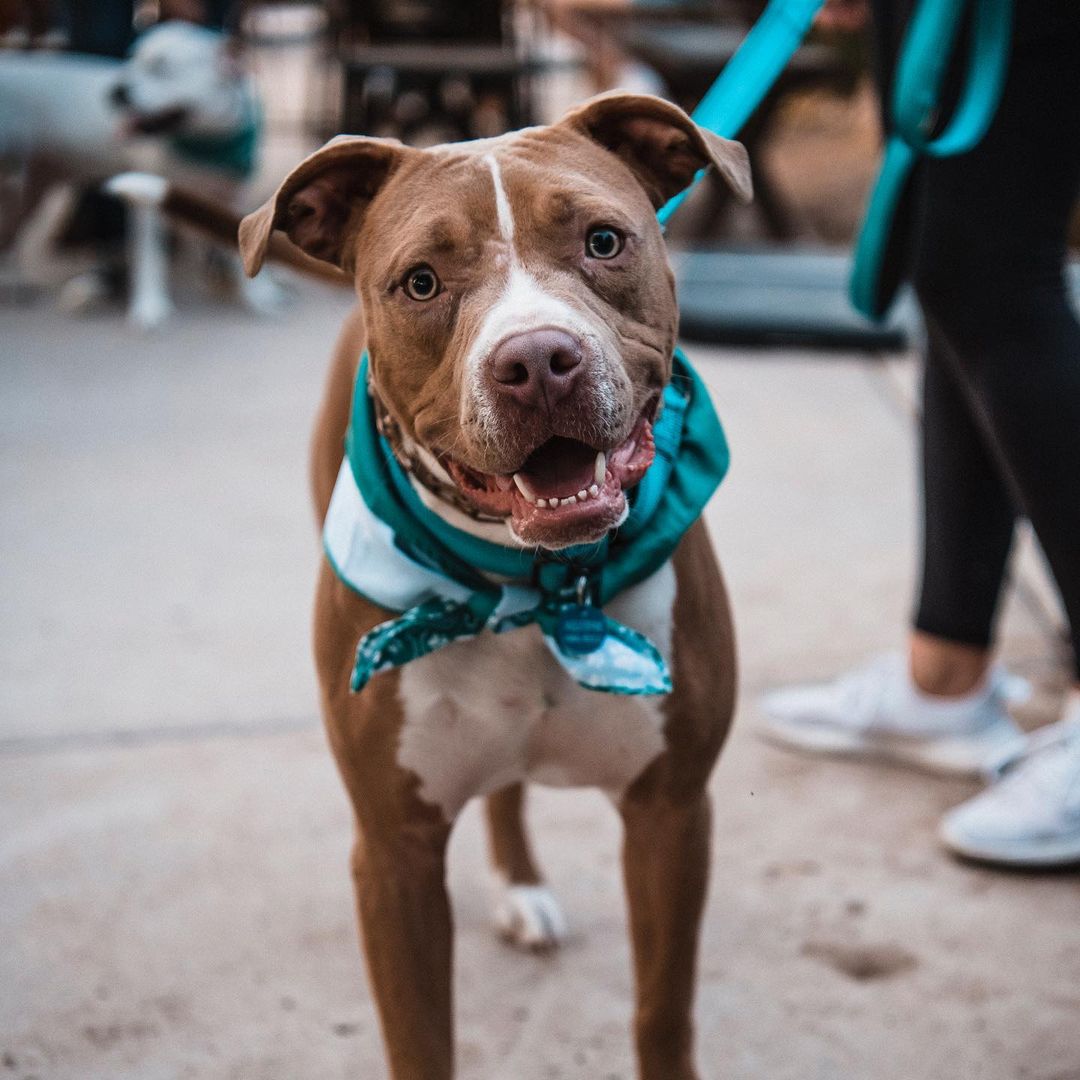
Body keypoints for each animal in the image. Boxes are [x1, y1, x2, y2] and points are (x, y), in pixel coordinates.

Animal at [1, 19, 278, 324]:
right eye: (131, 60)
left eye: (161, 68)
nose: (116, 92)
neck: (205, 142)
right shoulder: (150, 197)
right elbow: (151, 257)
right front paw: (150, 307)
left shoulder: (235, 196)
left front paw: (259, 295)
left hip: (29, 190)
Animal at [238, 92, 743, 1080]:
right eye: (421, 283)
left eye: (602, 241)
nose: (538, 360)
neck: (532, 583)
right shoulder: (393, 854)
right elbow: (420, 1040)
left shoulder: (671, 815)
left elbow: (662, 1012)